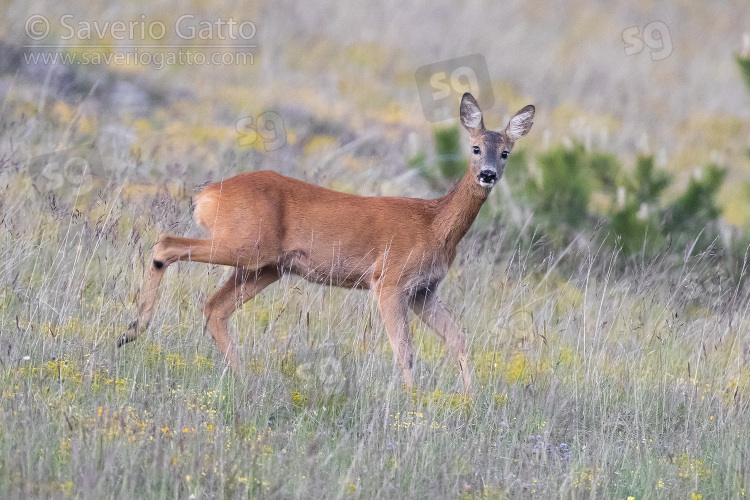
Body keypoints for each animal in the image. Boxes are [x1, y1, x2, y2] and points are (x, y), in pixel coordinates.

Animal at [120, 93, 536, 390]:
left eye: (506, 152)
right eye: (475, 148)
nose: (487, 175)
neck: (434, 224)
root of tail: (205, 194)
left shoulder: (424, 289)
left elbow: (458, 340)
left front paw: (468, 399)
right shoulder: (390, 281)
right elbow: (405, 351)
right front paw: (411, 401)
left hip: (266, 267)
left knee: (215, 308)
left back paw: (243, 379)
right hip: (245, 244)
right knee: (166, 245)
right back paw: (133, 329)